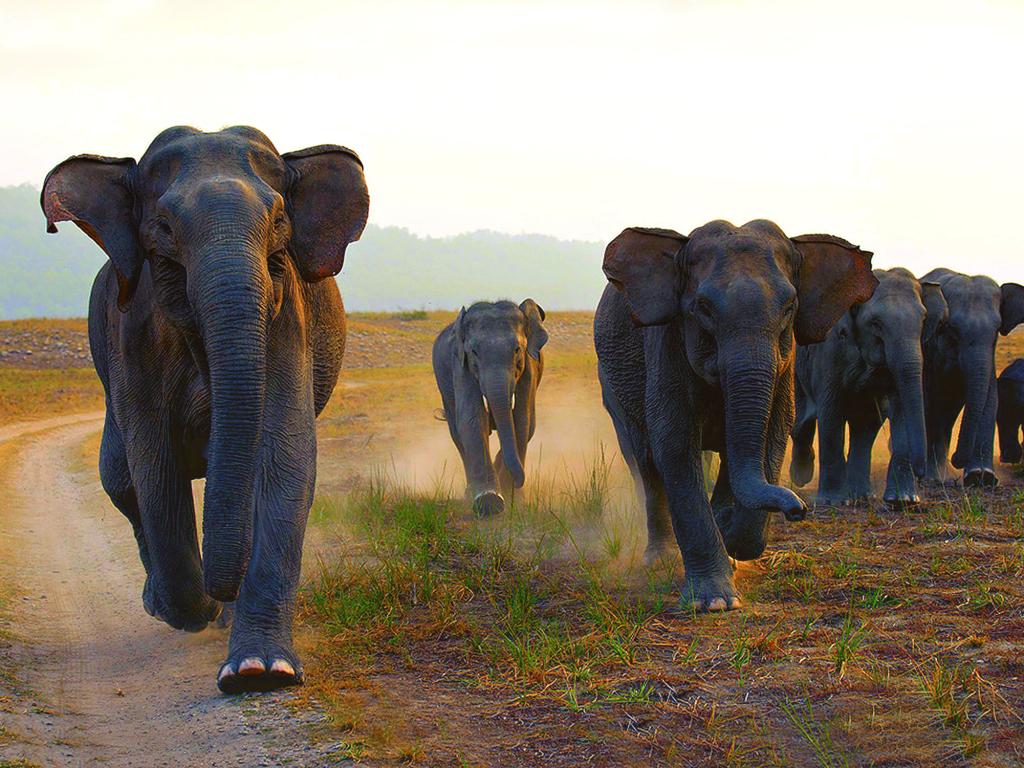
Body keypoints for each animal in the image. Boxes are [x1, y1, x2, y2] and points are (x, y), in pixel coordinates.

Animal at [40, 128, 368, 696]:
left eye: (278, 220)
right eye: (164, 227)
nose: (221, 595)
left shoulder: (286, 318)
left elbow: (282, 459)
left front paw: (259, 672)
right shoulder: (133, 335)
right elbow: (155, 468)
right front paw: (197, 611)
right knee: (120, 480)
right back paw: (164, 604)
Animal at [430, 301, 548, 518]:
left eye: (517, 350)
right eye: (474, 352)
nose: (519, 481)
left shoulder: (530, 368)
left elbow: (522, 420)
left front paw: (512, 497)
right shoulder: (461, 366)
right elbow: (472, 419)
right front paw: (489, 502)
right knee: (456, 433)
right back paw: (471, 492)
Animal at [598, 221, 876, 614]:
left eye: (790, 307)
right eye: (702, 307)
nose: (799, 509)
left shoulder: (785, 362)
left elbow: (773, 434)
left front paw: (729, 532)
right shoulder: (667, 342)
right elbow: (675, 445)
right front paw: (714, 602)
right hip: (613, 388)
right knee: (646, 463)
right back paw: (661, 559)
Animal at [786, 268, 946, 507]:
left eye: (924, 319)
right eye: (875, 323)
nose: (921, 474)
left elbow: (899, 408)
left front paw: (903, 501)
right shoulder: (831, 351)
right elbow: (831, 412)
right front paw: (833, 502)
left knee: (866, 425)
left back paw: (861, 496)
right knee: (802, 421)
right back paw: (802, 477)